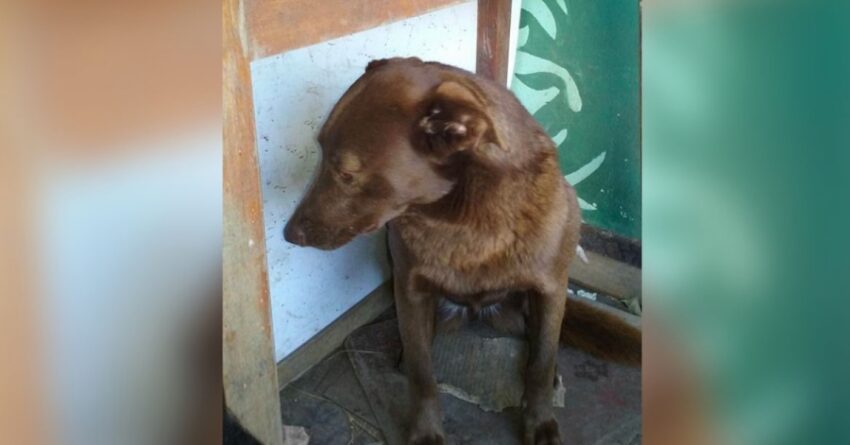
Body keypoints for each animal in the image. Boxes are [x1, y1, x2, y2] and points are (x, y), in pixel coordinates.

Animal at [284, 58, 636, 444]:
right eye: (318, 152)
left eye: (346, 174)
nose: (288, 234)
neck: (464, 218)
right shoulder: (410, 292)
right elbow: (422, 374)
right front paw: (425, 432)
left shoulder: (551, 290)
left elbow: (540, 364)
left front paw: (540, 423)